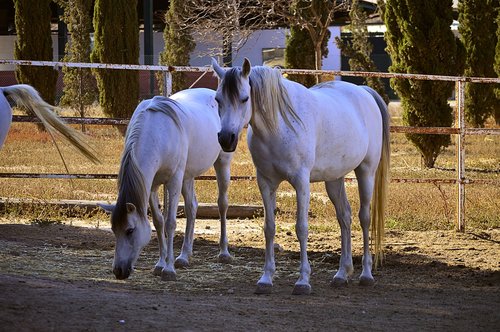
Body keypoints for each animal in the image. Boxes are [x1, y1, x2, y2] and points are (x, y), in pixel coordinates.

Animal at [100, 87, 235, 280]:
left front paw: (169, 269)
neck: (156, 132)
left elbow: (170, 222)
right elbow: (159, 222)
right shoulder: (151, 185)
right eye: (113, 229)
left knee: (222, 204)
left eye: (130, 230)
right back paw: (184, 256)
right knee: (192, 207)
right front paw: (160, 264)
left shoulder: (174, 181)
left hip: (222, 163)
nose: (119, 271)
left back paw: (224, 253)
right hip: (188, 176)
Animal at [212, 58, 390, 294]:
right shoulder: (266, 183)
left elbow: (302, 228)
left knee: (364, 218)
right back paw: (342, 273)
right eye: (217, 99)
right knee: (345, 216)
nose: (226, 139)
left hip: (366, 172)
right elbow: (269, 228)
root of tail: (364, 92)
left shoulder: (301, 183)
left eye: (244, 98)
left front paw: (303, 281)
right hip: (334, 179)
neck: (278, 128)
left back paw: (366, 274)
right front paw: (266, 278)